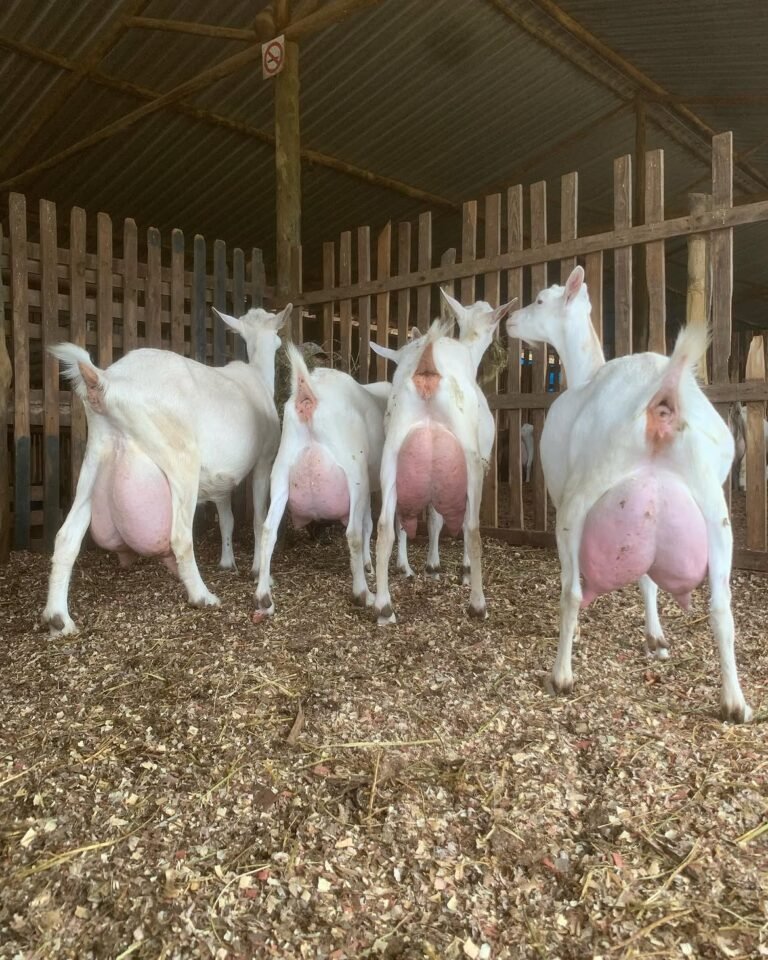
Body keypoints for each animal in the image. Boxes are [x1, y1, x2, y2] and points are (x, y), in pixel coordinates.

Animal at [42, 304, 290, 635]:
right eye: (278, 342)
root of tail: (106, 382)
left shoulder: (222, 480)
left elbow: (227, 519)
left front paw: (227, 562)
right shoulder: (264, 459)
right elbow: (258, 519)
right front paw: (257, 570)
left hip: (95, 455)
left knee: (66, 536)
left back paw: (59, 618)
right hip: (181, 458)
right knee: (180, 536)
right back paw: (203, 596)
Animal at [254, 342, 385, 615]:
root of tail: (307, 395)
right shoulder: (366, 483)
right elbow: (366, 525)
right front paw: (368, 565)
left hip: (281, 471)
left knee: (268, 529)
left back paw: (263, 596)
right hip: (354, 472)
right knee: (353, 533)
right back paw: (363, 593)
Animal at [507, 266, 751, 722]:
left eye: (541, 300)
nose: (511, 320)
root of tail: (663, 398)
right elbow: (647, 577)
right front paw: (655, 637)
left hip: (580, 495)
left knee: (572, 590)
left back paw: (561, 675)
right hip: (714, 505)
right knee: (722, 606)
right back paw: (734, 702)